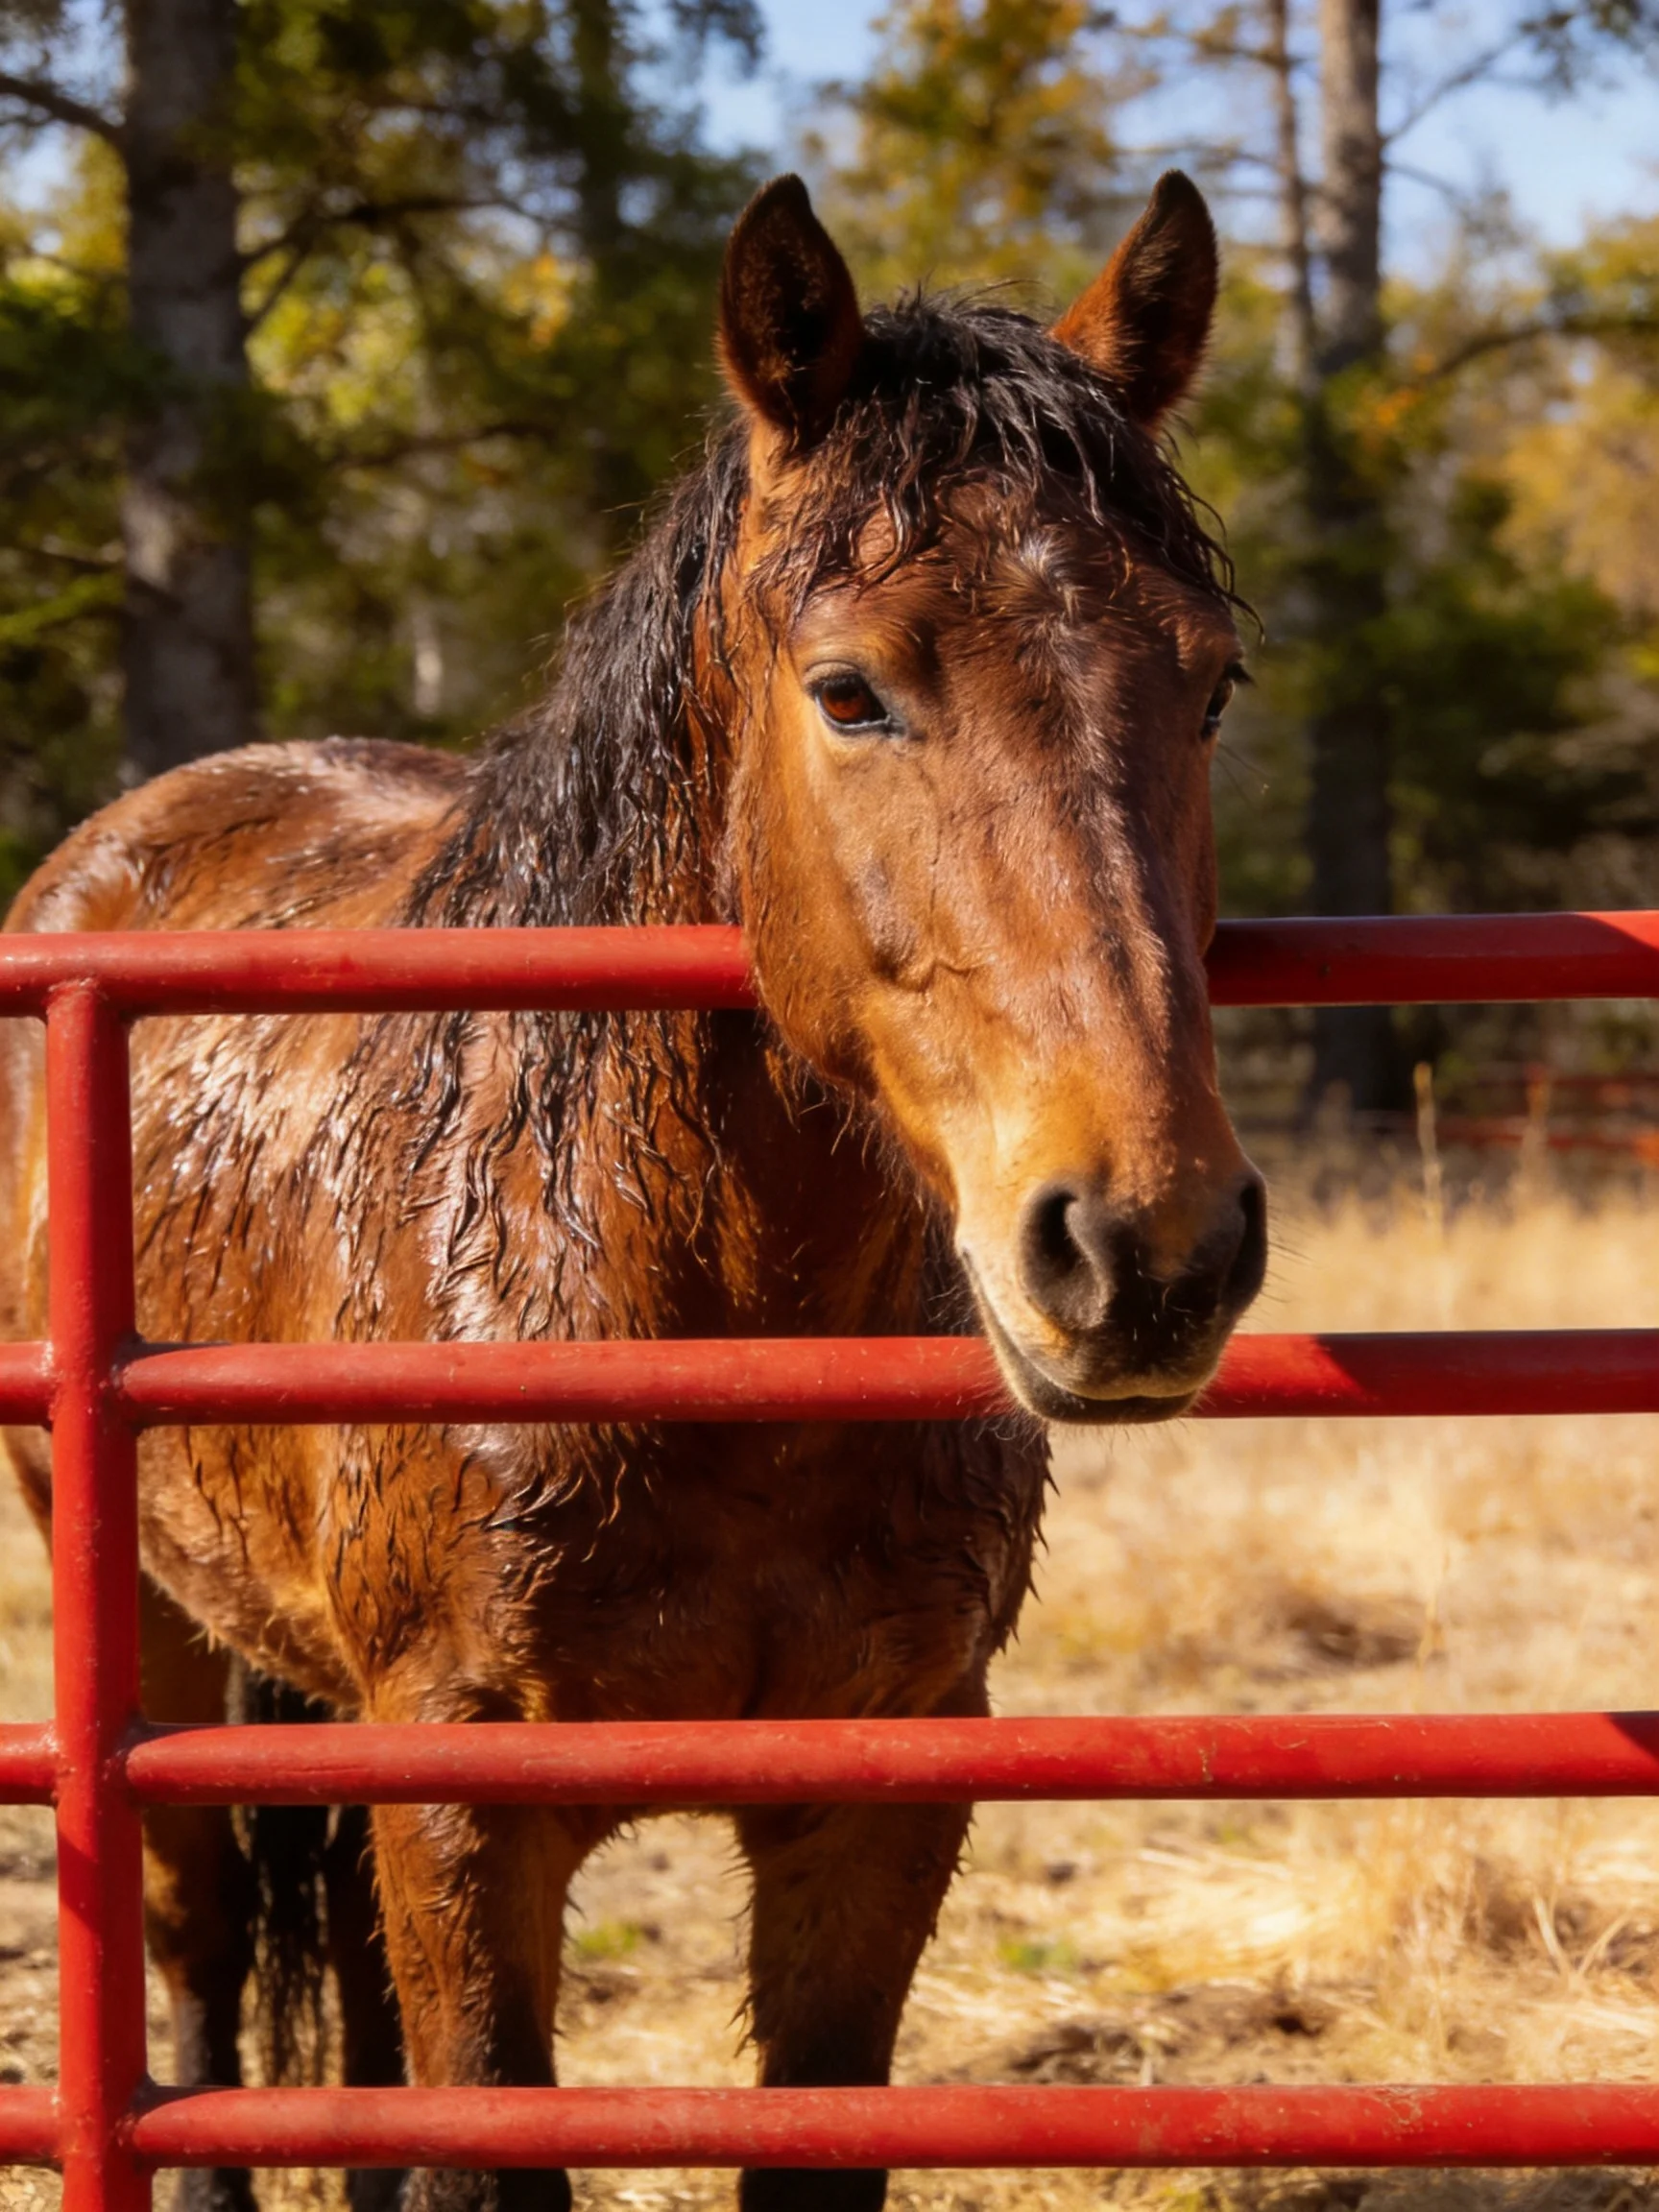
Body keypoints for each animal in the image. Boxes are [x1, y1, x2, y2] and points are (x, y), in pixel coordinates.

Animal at [0, 169, 1266, 2212]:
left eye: (1209, 682)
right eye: (849, 691)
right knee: (198, 1950)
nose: (1144, 1245)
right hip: (147, 1628)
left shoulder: (874, 1800)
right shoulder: (467, 1809)